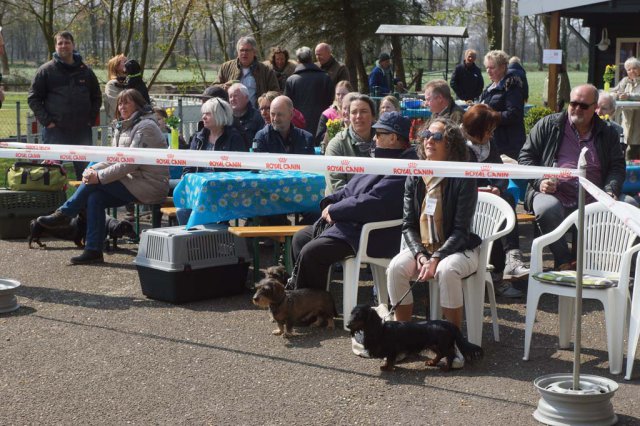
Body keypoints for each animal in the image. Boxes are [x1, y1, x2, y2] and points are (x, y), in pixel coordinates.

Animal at [348, 304, 482, 372]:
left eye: (358, 316)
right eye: (351, 314)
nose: (347, 325)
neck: (380, 329)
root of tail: (449, 324)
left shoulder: (392, 350)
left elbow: (390, 360)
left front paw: (387, 367)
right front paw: (386, 366)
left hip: (442, 345)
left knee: (450, 354)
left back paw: (446, 368)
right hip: (433, 345)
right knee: (440, 354)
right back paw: (432, 362)